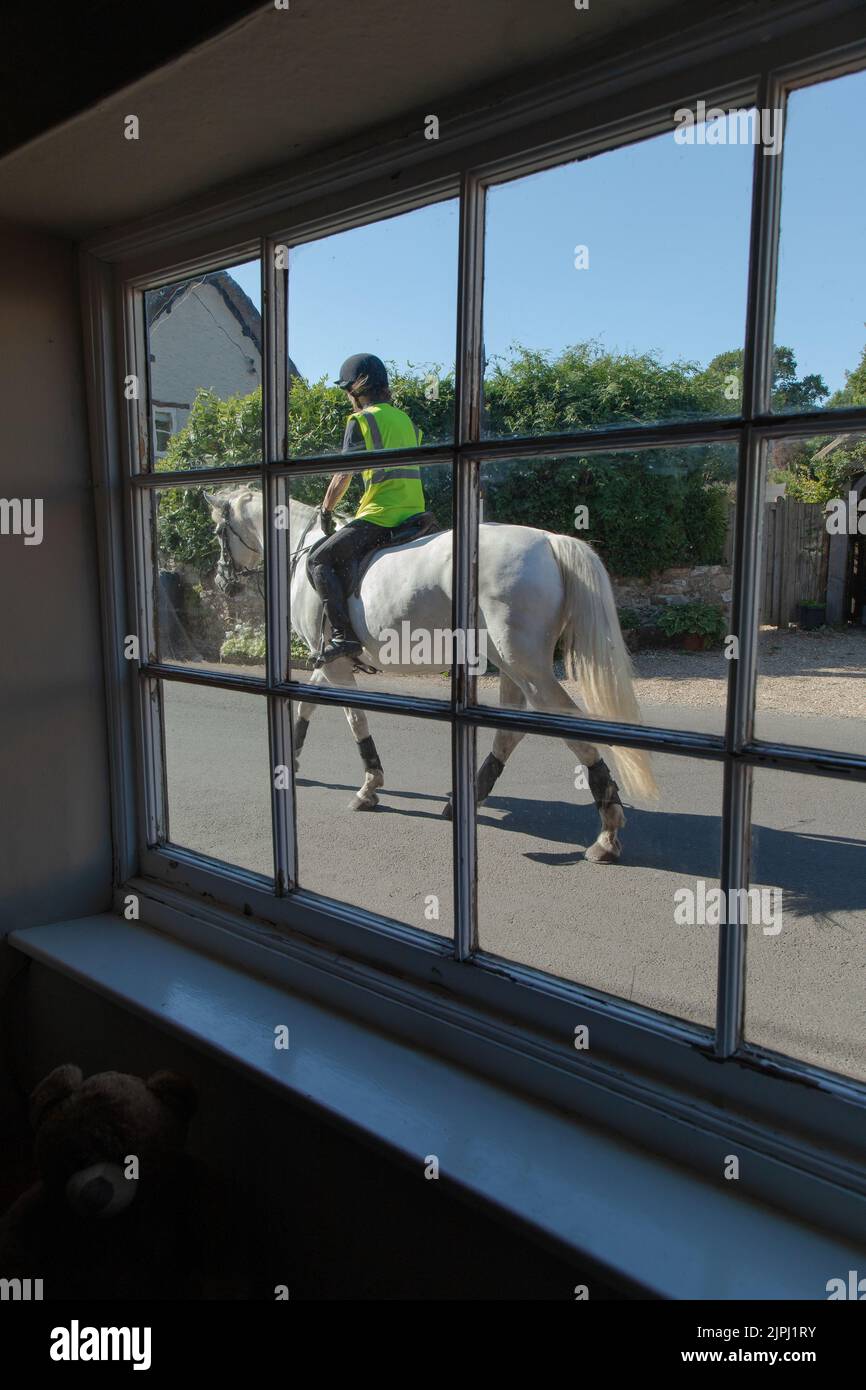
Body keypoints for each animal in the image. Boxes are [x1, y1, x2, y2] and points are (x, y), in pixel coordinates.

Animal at [205, 487, 658, 862]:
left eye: (219, 532)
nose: (223, 581)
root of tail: (549, 540)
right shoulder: (330, 661)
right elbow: (306, 707)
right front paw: (292, 760)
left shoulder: (334, 663)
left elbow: (354, 718)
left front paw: (369, 786)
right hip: (511, 664)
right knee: (510, 731)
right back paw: (466, 800)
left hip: (527, 667)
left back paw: (606, 834)